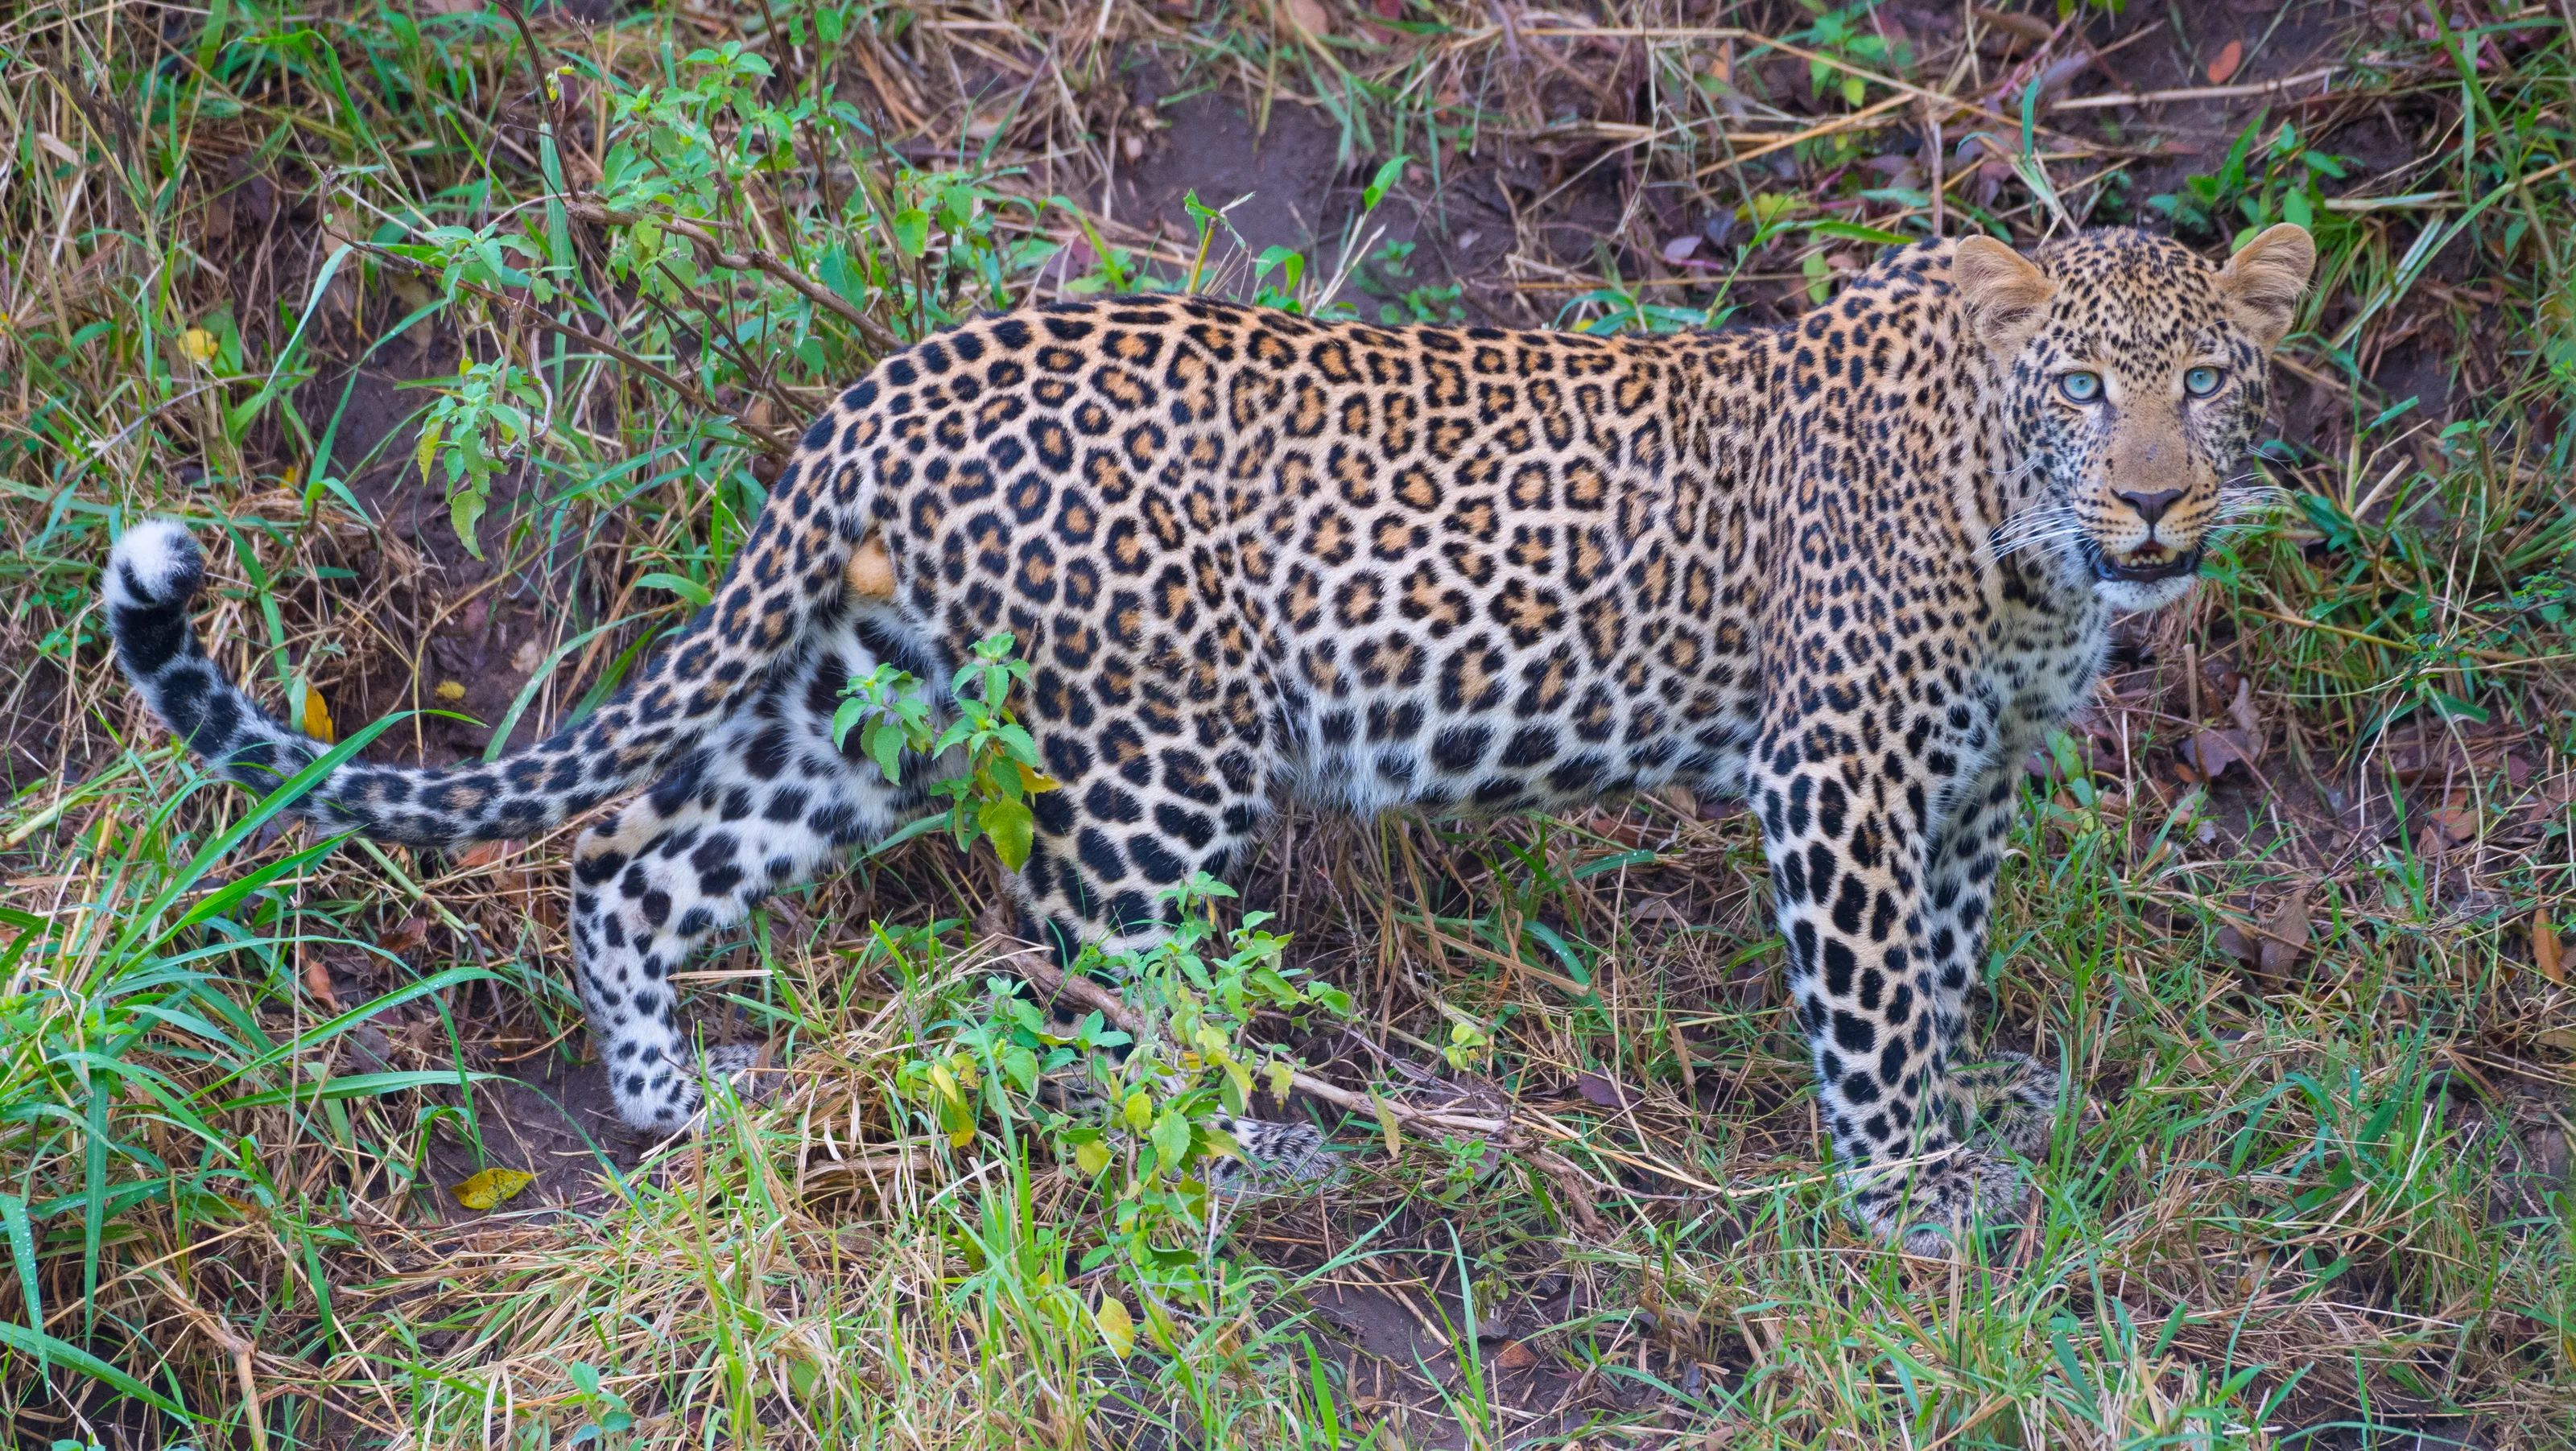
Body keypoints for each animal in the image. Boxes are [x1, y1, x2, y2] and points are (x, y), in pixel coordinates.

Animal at [102, 222, 2314, 1254]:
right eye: (2081, 390)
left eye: (2209, 381)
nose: (2154, 506)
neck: (2020, 550)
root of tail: (888, 384)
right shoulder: (1841, 773)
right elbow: (1867, 1001)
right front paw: (1909, 1205)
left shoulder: (1975, 777)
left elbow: (1944, 961)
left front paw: (1978, 1110)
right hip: (1156, 762)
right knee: (1109, 993)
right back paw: (1253, 1158)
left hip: (879, 714)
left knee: (630, 855)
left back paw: (674, 1104)